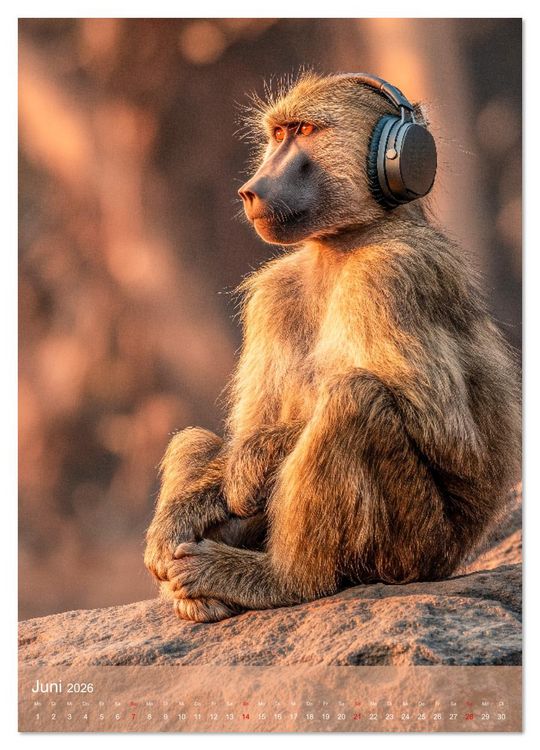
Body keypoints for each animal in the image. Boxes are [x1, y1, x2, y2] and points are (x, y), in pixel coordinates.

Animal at [144, 72, 521, 623]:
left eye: (304, 130)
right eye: (278, 135)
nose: (251, 190)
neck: (343, 243)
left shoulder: (390, 274)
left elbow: (447, 438)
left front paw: (252, 459)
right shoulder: (272, 294)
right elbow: (248, 426)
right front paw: (188, 508)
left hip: (414, 547)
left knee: (355, 399)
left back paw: (278, 579)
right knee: (191, 439)